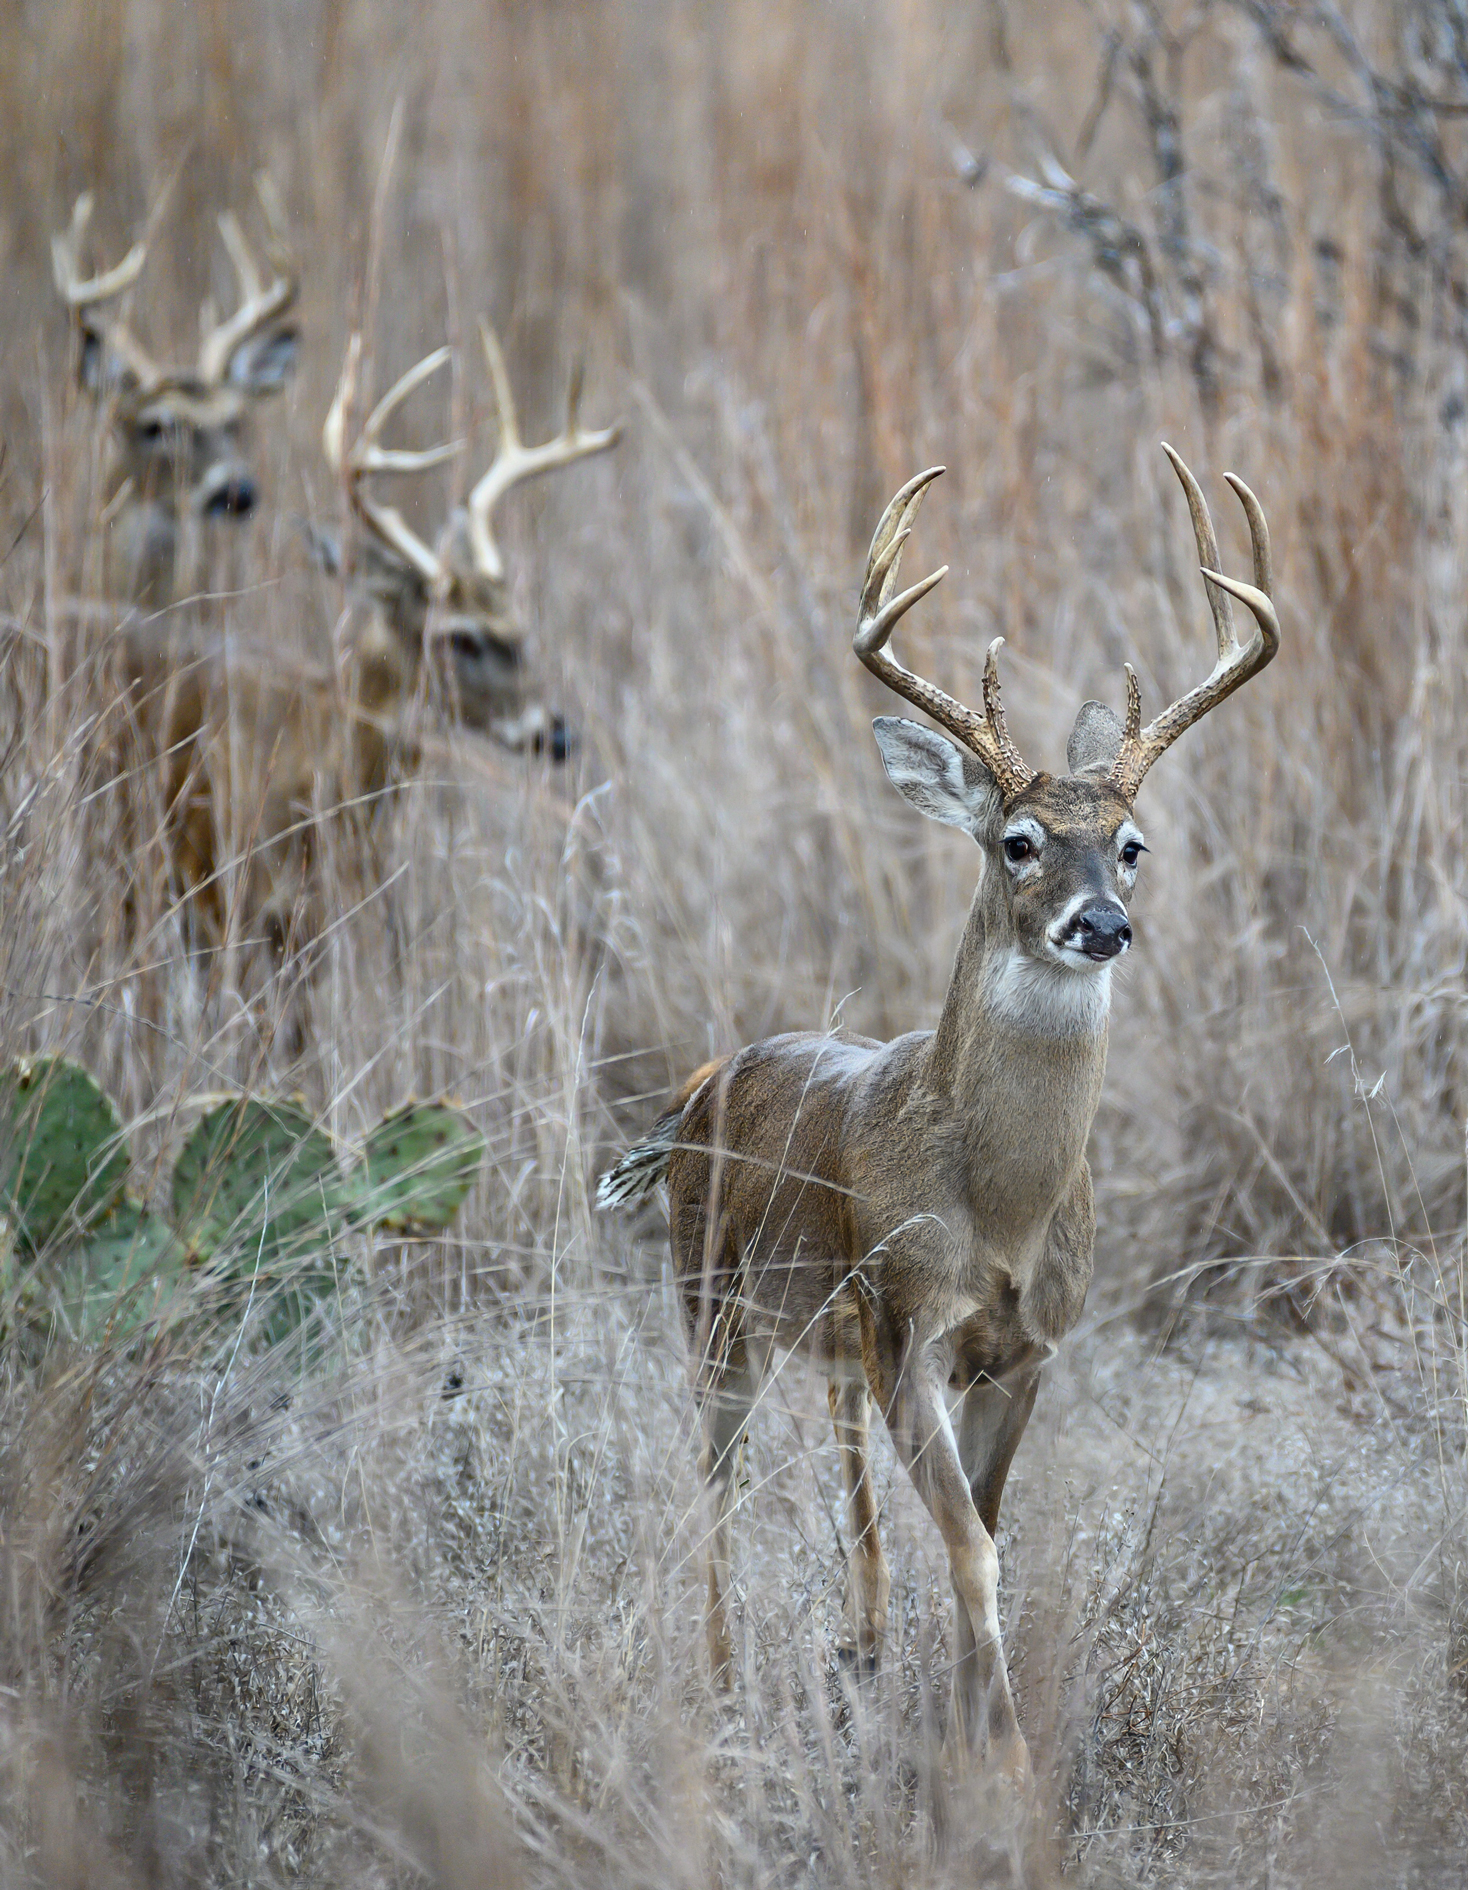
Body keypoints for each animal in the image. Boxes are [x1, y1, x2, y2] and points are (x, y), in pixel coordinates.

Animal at [600, 449, 1277, 1776]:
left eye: (1132, 845)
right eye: (1016, 840)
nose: (1101, 924)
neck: (1001, 1208)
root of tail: (703, 1078)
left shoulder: (1029, 1347)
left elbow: (989, 1527)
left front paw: (963, 1727)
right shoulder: (908, 1319)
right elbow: (972, 1547)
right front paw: (1002, 1759)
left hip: (825, 1335)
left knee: (845, 1480)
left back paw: (856, 1648)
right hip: (711, 1304)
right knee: (711, 1483)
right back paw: (720, 1684)